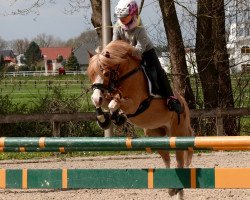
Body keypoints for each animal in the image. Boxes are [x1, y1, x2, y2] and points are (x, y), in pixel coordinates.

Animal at [88, 39, 193, 199]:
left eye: (105, 73)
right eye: (91, 75)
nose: (96, 97)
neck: (125, 76)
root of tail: (184, 104)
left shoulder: (133, 104)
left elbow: (114, 104)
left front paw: (117, 116)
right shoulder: (107, 97)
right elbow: (105, 104)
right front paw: (104, 119)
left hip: (177, 135)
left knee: (179, 162)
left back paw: (176, 190)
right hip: (155, 135)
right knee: (167, 158)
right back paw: (171, 188)